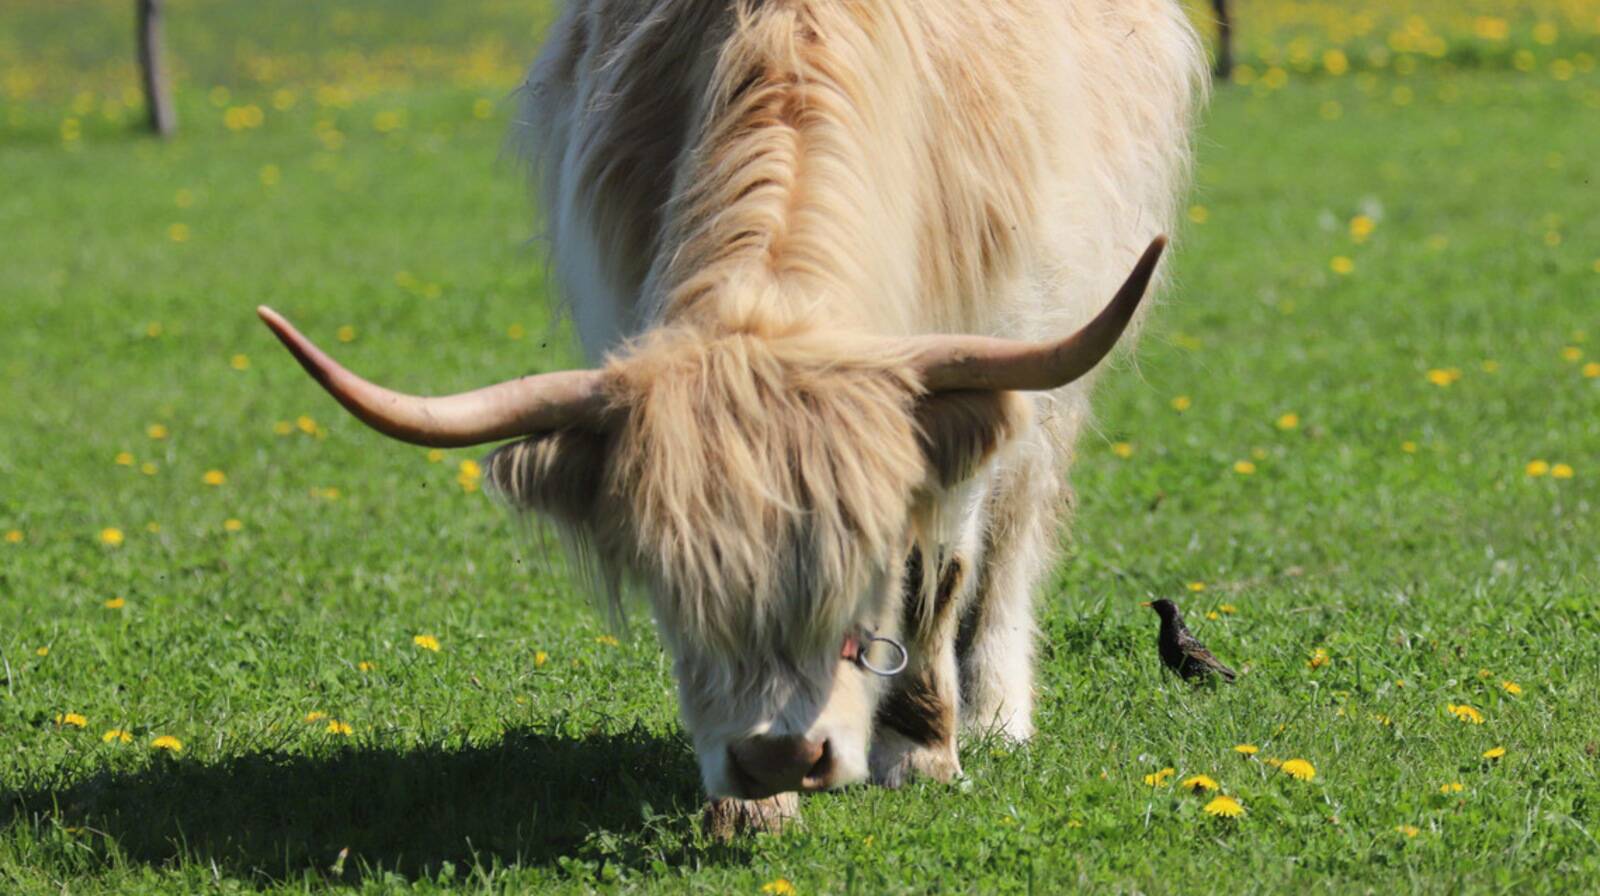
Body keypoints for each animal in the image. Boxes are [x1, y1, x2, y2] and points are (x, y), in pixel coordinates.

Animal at [259, 0, 1206, 829]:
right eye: (673, 583)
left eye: (859, 576)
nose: (780, 756)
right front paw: (752, 810)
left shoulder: (991, 351)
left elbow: (939, 566)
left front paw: (924, 751)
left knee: (1014, 536)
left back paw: (996, 714)